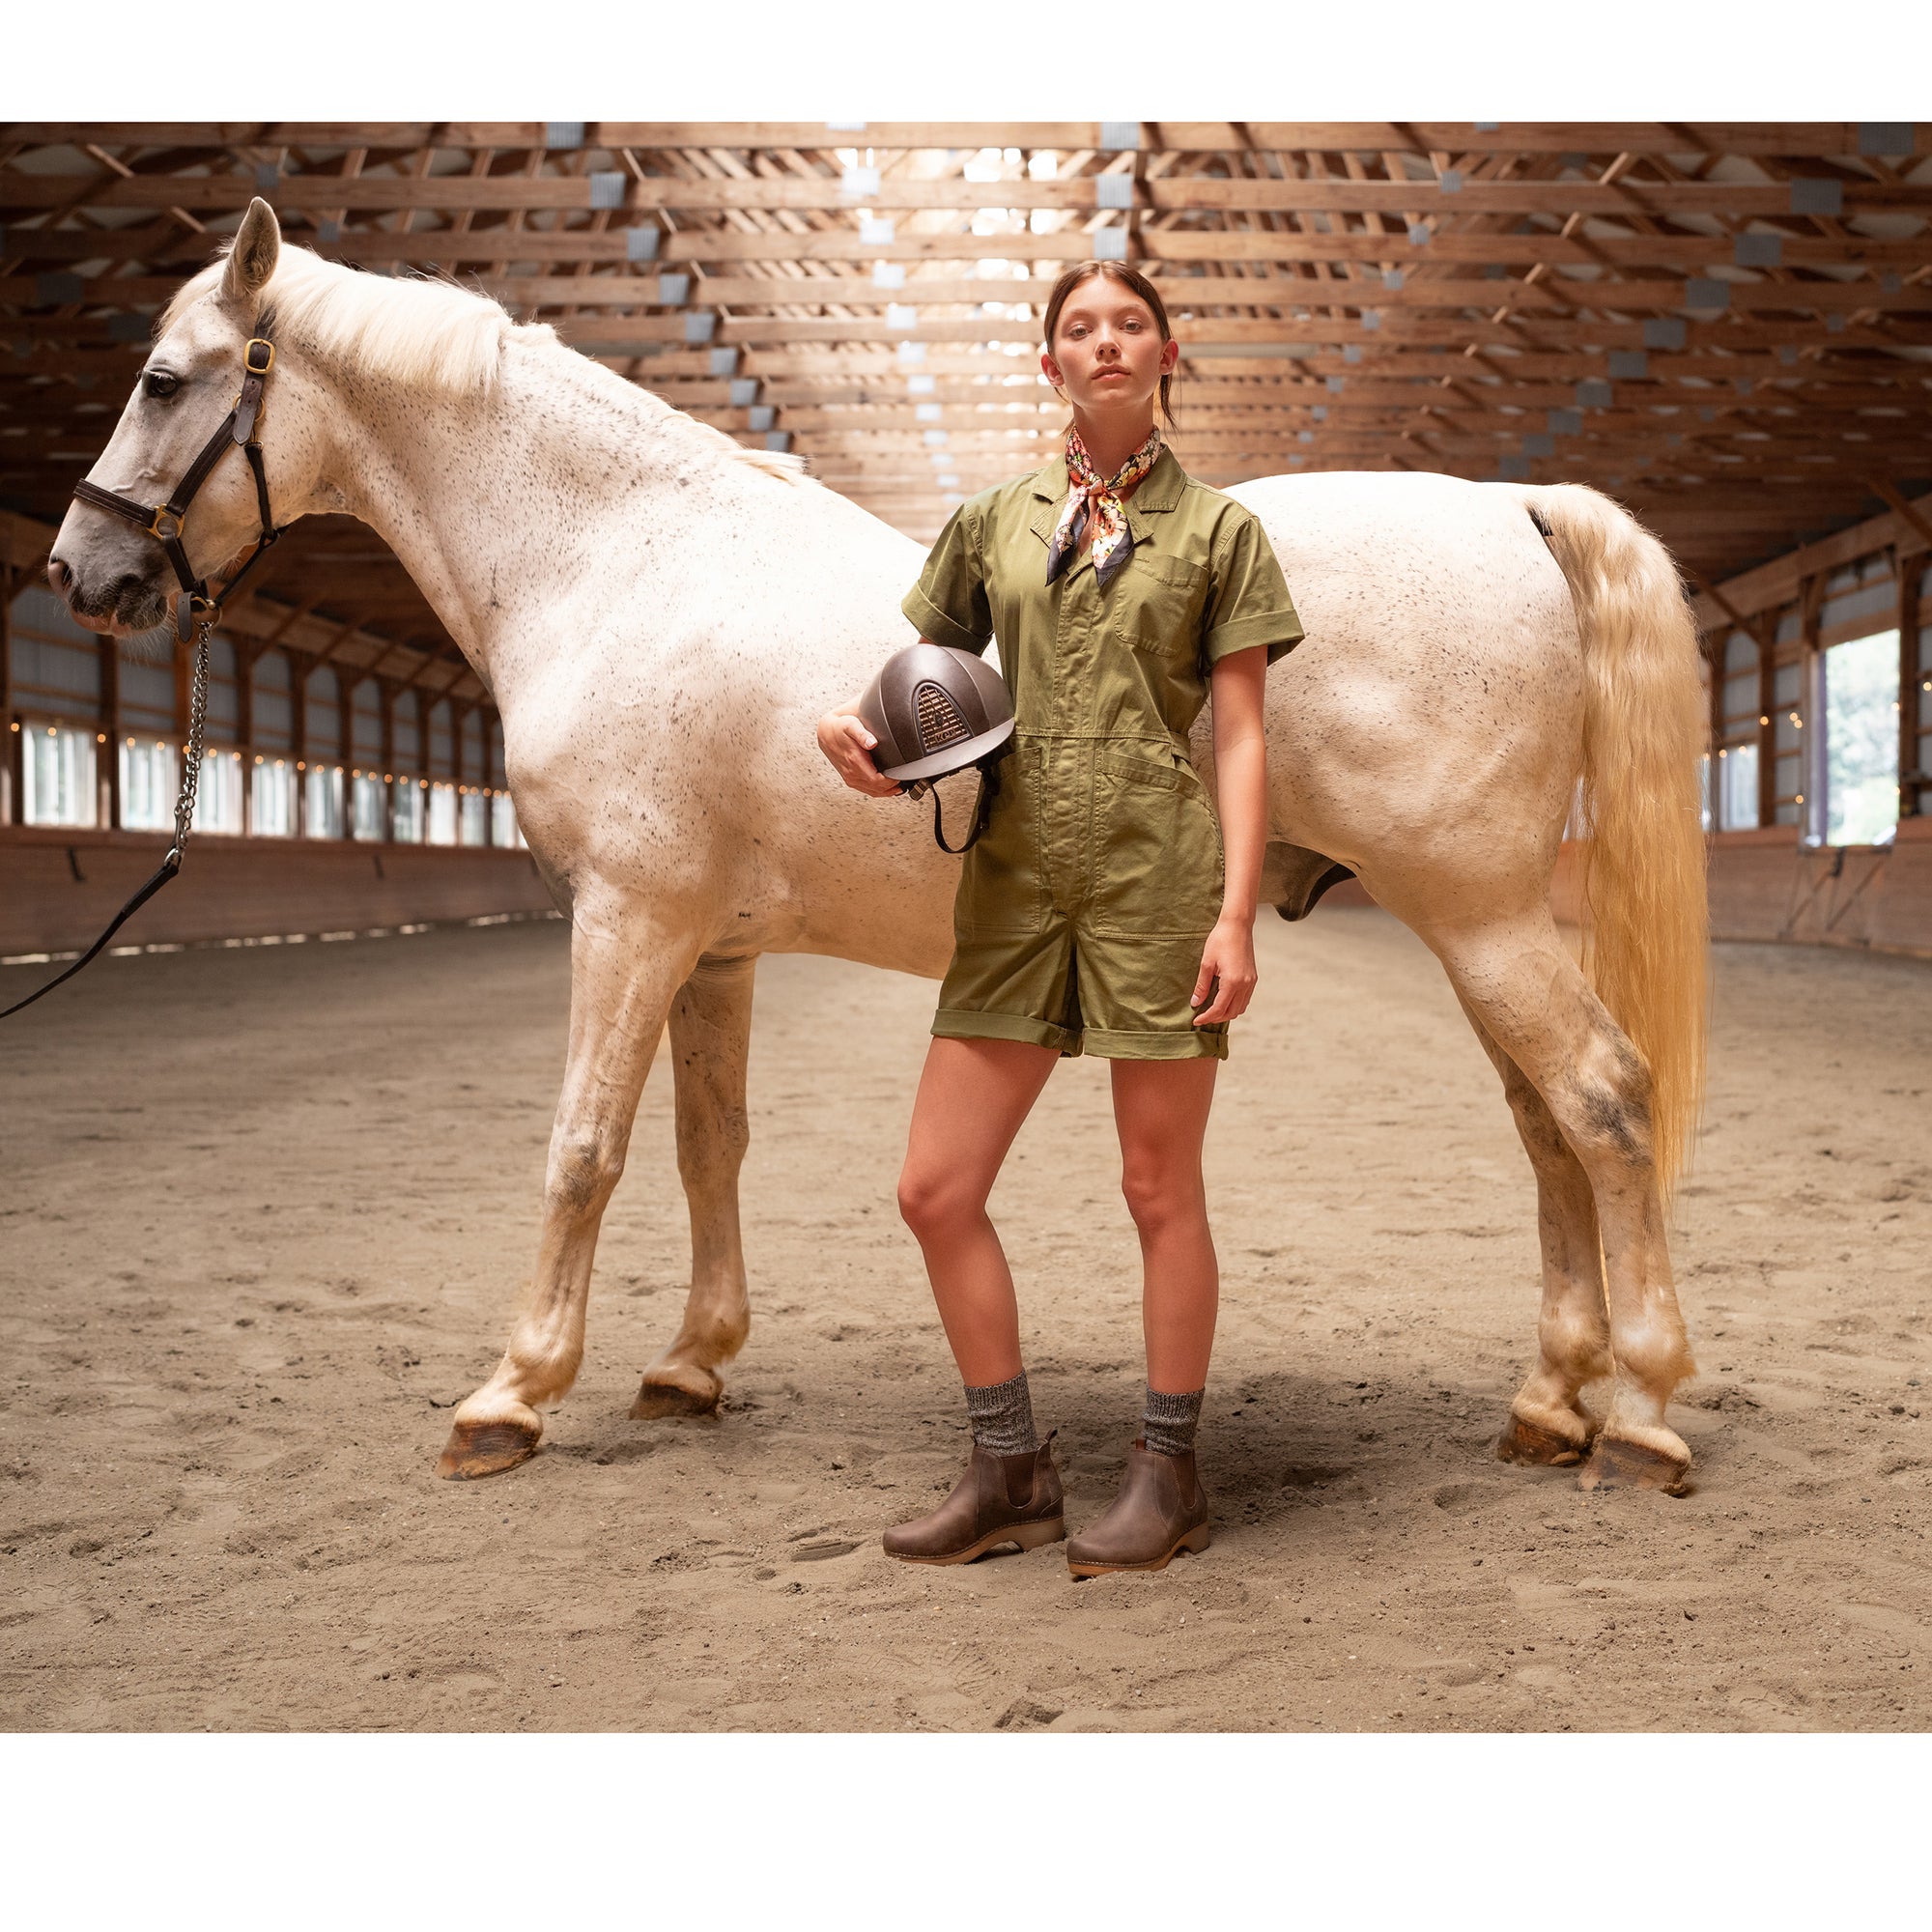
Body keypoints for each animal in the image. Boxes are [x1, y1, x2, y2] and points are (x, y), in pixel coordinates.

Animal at [48, 200, 1708, 1492]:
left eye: (164, 379)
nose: (81, 570)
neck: (615, 557)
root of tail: (1512, 506)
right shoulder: (707, 946)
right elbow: (706, 1146)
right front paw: (691, 1364)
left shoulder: (627, 919)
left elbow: (582, 1148)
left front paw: (512, 1394)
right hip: (1473, 924)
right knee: (1548, 1127)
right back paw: (1551, 1401)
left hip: (1479, 915)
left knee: (1606, 1104)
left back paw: (1640, 1409)